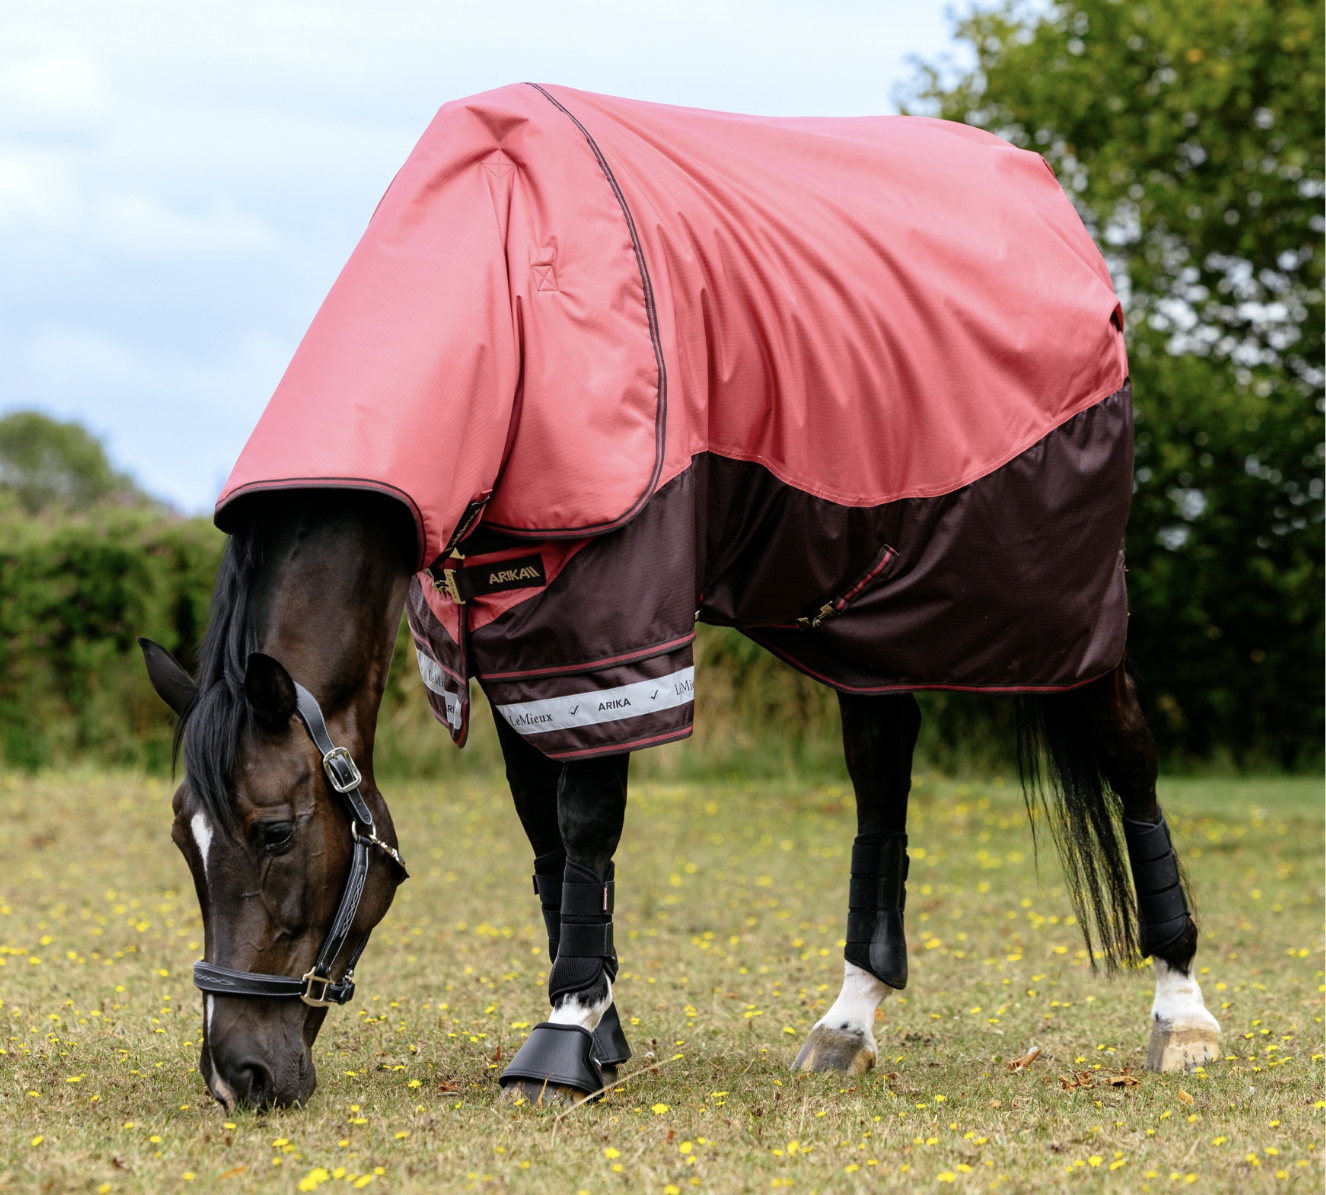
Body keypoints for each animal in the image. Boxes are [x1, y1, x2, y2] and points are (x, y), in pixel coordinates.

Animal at [139, 84, 1222, 1108]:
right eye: (183, 839)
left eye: (275, 832)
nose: (237, 1074)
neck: (508, 292)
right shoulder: (507, 645)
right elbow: (548, 838)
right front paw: (601, 1028)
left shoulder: (610, 615)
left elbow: (586, 821)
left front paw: (565, 1035)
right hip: (869, 621)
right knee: (883, 775)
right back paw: (849, 1022)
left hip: (1062, 609)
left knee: (1128, 752)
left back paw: (1182, 1012)